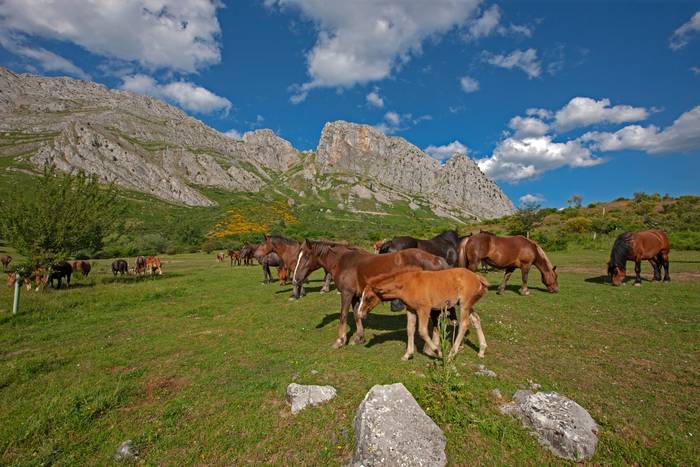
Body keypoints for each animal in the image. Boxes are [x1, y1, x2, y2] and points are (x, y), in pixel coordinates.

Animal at [292, 243, 448, 350]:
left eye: (306, 256)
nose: (296, 279)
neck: (344, 262)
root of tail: (436, 259)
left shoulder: (347, 294)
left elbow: (343, 315)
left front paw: (340, 340)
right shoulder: (356, 296)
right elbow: (357, 315)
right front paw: (359, 338)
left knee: (436, 319)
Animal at [358, 266, 490, 362]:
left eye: (369, 298)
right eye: (362, 296)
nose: (360, 314)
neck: (408, 284)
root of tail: (477, 277)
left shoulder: (424, 309)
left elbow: (422, 331)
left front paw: (438, 352)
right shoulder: (411, 309)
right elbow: (410, 329)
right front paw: (408, 354)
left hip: (464, 304)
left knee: (464, 324)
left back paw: (451, 354)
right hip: (468, 305)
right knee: (476, 319)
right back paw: (481, 351)